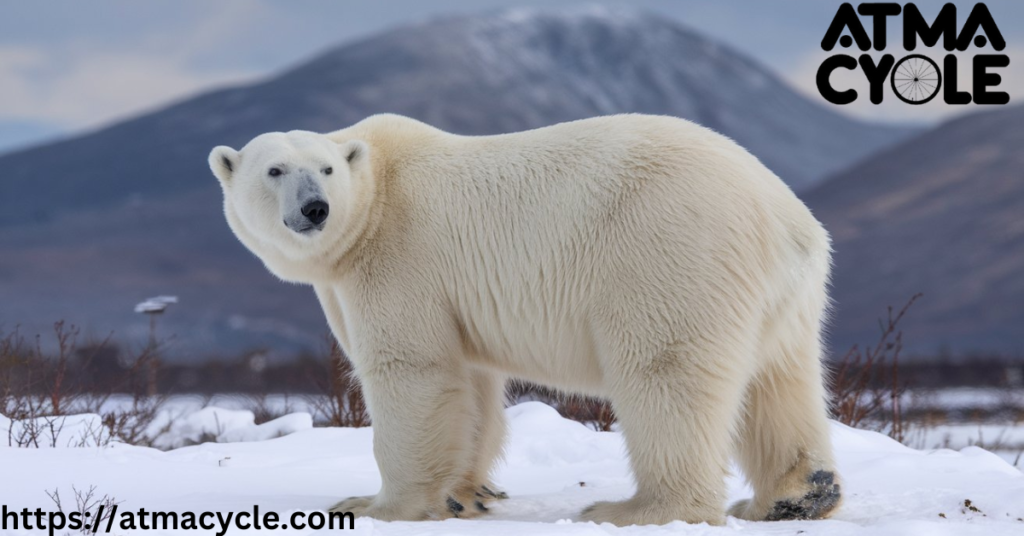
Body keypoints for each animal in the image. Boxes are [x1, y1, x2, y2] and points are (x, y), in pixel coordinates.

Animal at [205, 114, 839, 528]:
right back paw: (796, 496)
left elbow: (412, 371)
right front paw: (465, 495)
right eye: (275, 170)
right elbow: (473, 386)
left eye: (327, 169)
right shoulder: (450, 294)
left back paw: (636, 509)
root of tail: (786, 219)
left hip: (668, 252)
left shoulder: (399, 258)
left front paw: (374, 506)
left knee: (666, 373)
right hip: (786, 297)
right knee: (781, 381)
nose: (315, 208)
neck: (376, 195)